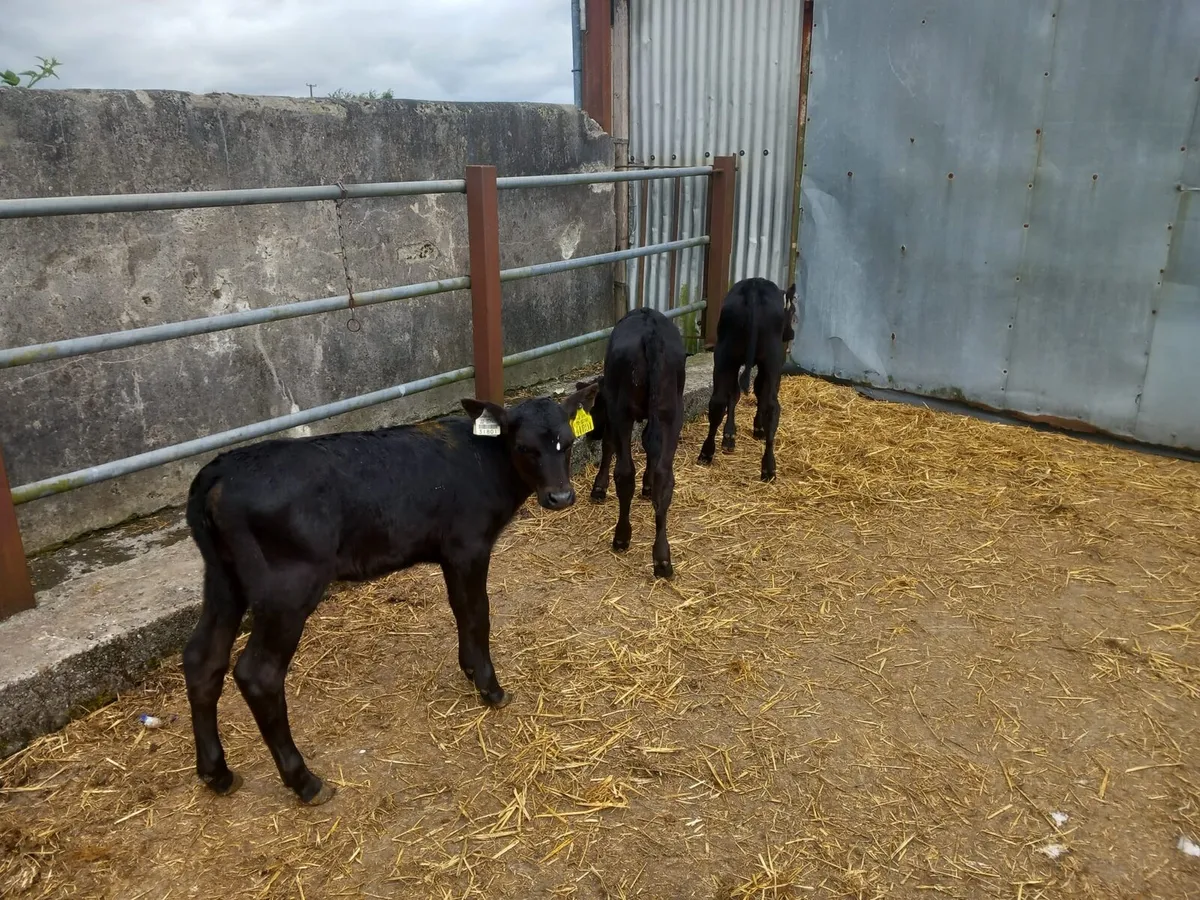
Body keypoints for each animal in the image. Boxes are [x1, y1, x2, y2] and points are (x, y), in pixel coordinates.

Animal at [181, 383, 598, 805]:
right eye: (524, 447)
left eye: (568, 441)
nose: (560, 497)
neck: (486, 460)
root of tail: (219, 472)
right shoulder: (469, 546)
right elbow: (478, 612)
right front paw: (491, 689)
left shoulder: (451, 554)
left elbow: (461, 609)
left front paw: (469, 670)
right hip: (286, 586)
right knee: (259, 674)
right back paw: (305, 782)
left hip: (223, 579)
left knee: (202, 658)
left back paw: (217, 773)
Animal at [579, 307, 686, 580]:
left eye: (595, 407)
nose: (590, 436)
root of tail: (650, 331)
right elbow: (650, 446)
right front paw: (647, 486)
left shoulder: (613, 412)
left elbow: (609, 446)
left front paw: (599, 487)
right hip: (672, 411)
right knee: (665, 476)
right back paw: (662, 559)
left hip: (623, 411)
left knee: (625, 472)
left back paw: (621, 537)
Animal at [697, 277, 796, 481]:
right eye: (793, 311)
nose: (791, 334)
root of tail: (754, 289)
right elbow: (756, 392)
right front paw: (757, 429)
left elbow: (735, 395)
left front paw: (729, 437)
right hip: (766, 359)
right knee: (769, 405)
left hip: (725, 356)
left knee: (721, 400)